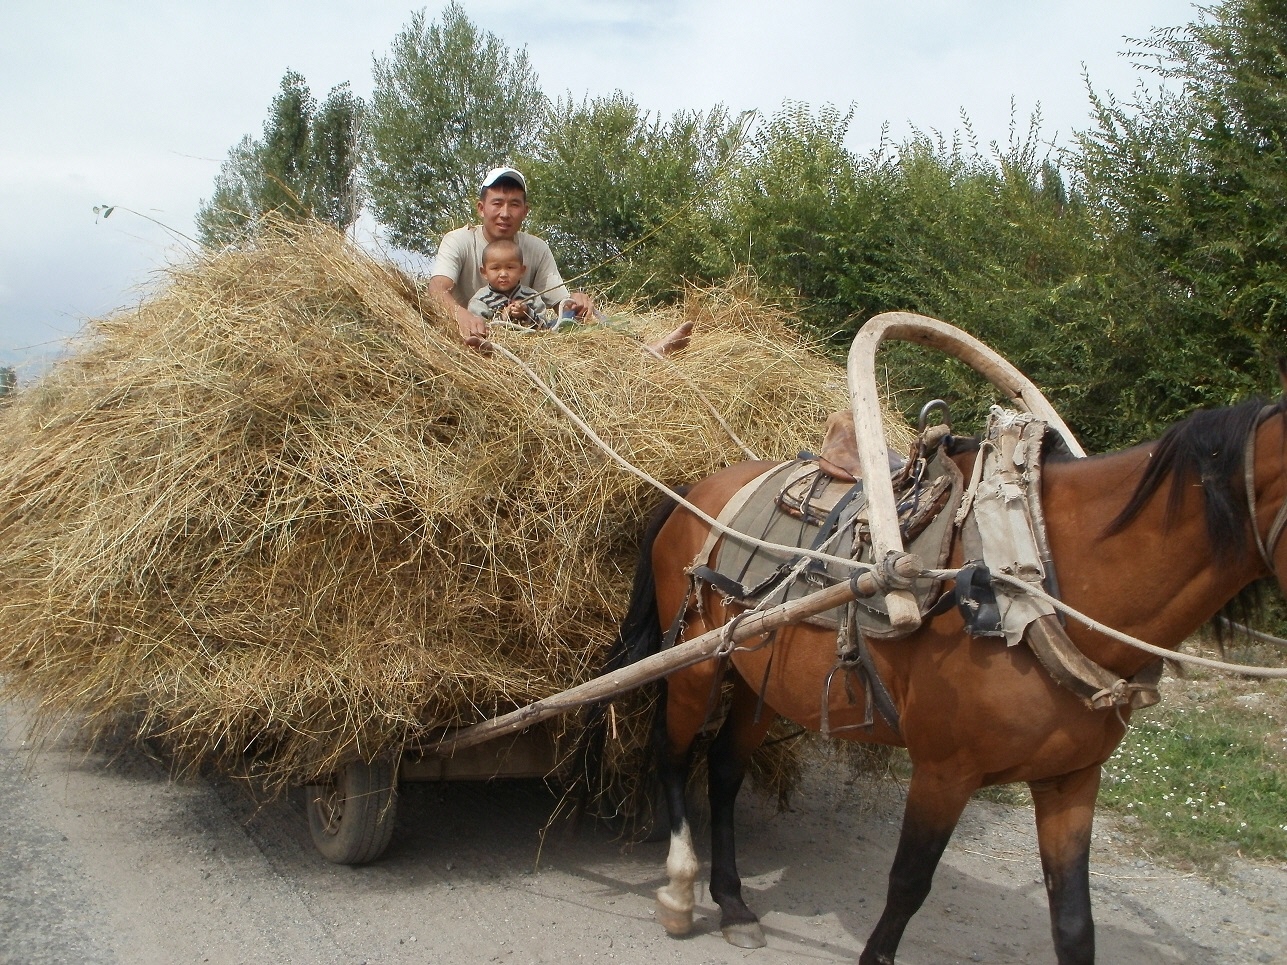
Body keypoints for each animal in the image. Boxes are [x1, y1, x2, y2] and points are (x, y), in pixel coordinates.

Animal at [612, 380, 1287, 962]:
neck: (1033, 577)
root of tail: (693, 491)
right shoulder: (944, 770)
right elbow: (909, 883)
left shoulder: (1072, 779)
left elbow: (1074, 923)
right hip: (696, 665)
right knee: (673, 754)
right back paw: (680, 889)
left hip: (762, 683)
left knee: (725, 770)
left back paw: (733, 903)